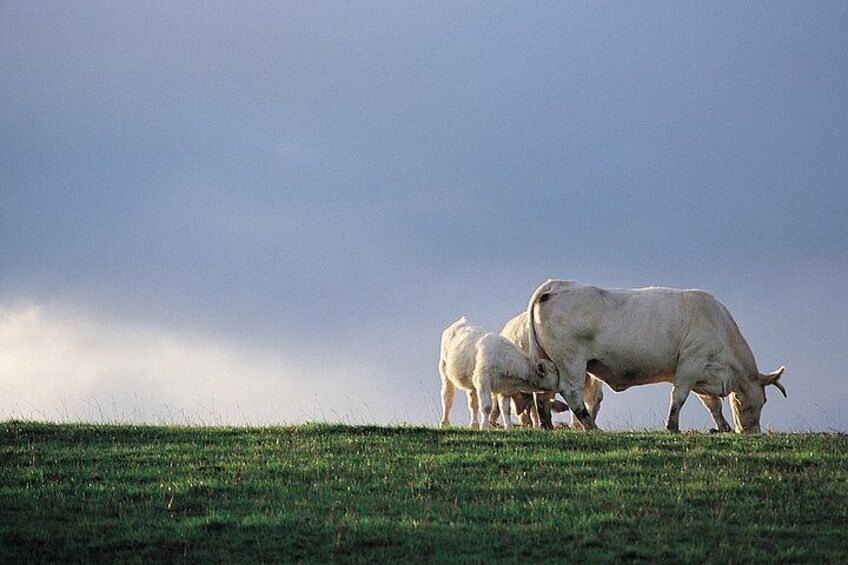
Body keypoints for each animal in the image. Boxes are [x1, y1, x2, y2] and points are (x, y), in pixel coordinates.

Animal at [526, 280, 786, 433]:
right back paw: (591, 426)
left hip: (549, 362)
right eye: (763, 401)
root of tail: (554, 285)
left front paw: (723, 427)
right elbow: (679, 397)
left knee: (543, 393)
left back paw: (548, 426)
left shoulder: (699, 371)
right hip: (571, 361)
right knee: (571, 392)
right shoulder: (691, 363)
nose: (751, 432)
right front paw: (672, 427)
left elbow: (712, 404)